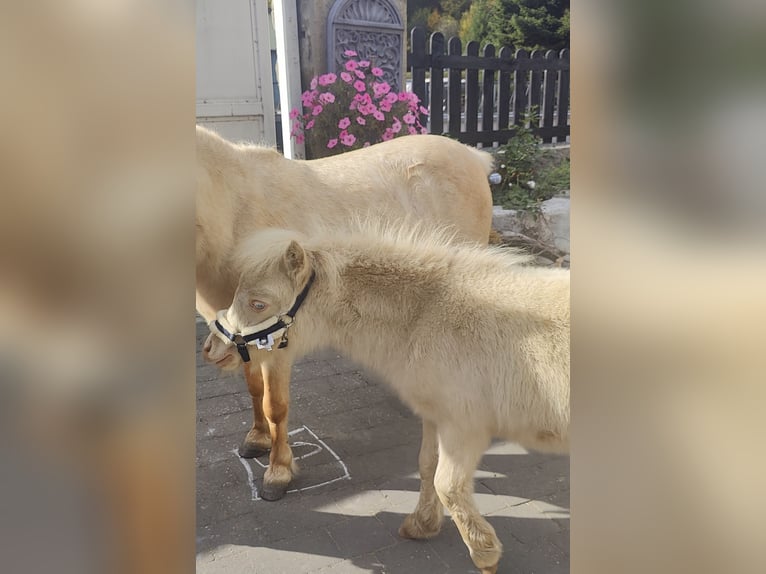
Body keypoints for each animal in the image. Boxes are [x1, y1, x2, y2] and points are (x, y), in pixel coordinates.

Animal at [196, 125, 495, 500]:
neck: (234, 213)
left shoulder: (277, 341)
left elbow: (275, 406)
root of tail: (474, 156)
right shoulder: (240, 337)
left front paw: (278, 471)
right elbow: (253, 390)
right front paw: (257, 439)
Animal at [203, 225, 570, 573]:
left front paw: (485, 556)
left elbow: (448, 485)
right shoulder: (436, 417)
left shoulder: (464, 426)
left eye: (259, 303)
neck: (429, 314)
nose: (212, 348)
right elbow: (427, 467)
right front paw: (421, 526)